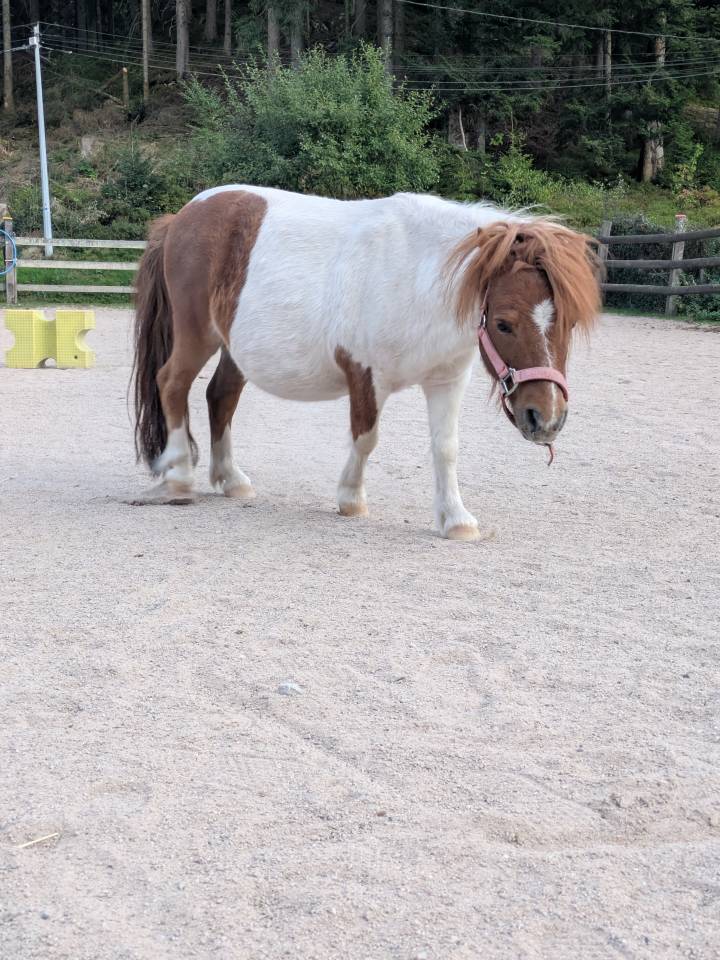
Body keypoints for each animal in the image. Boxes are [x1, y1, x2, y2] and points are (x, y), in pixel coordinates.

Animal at [132, 186, 600, 539]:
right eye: (503, 324)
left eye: (569, 322)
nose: (546, 419)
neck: (416, 276)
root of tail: (183, 216)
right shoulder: (365, 375)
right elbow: (366, 437)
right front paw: (351, 499)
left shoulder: (447, 380)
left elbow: (446, 448)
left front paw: (456, 520)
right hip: (197, 334)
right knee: (172, 382)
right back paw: (179, 475)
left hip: (234, 349)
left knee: (221, 396)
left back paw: (231, 479)